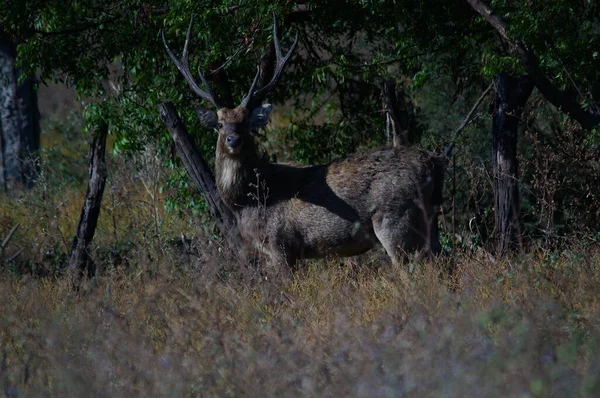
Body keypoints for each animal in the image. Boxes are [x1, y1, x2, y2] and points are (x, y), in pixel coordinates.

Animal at [163, 16, 446, 270]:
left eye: (245, 122)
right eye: (220, 124)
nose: (233, 139)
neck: (249, 200)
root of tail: (433, 164)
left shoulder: (282, 243)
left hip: (395, 219)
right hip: (429, 222)